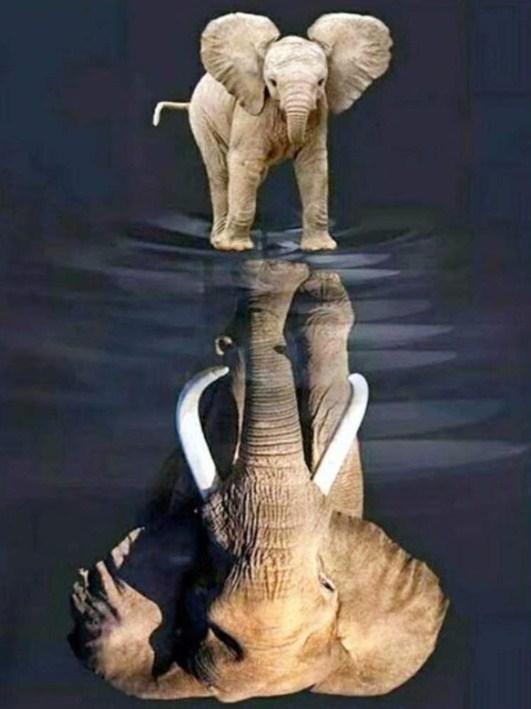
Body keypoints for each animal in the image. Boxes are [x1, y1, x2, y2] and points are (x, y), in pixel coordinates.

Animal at [153, 12, 392, 252]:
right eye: (273, 82)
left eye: (321, 82)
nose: (290, 139)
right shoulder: (251, 109)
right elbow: (245, 162)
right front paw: (237, 248)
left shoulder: (319, 110)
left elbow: (312, 164)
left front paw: (320, 249)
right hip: (202, 118)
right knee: (220, 171)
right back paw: (220, 242)